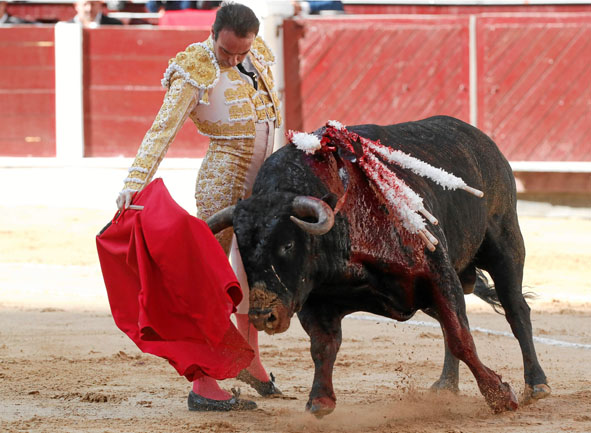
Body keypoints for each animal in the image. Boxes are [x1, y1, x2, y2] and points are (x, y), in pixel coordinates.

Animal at [208, 115, 552, 416]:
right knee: (448, 322)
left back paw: (536, 384)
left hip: (505, 244)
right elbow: (323, 347)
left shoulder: (437, 271)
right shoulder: (314, 298)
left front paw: (499, 395)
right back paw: (446, 384)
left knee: (515, 310)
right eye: (242, 249)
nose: (263, 315)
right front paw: (320, 400)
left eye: (287, 245)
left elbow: (461, 337)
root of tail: (480, 139)